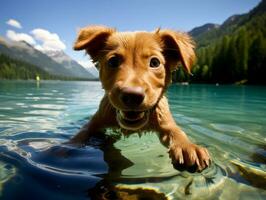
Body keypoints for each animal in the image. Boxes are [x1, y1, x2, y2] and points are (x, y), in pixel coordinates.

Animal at [70, 25, 210, 171]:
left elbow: (177, 131)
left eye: (155, 62)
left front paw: (188, 146)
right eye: (113, 61)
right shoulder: (96, 120)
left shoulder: (165, 122)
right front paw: (66, 147)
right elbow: (82, 133)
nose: (132, 96)